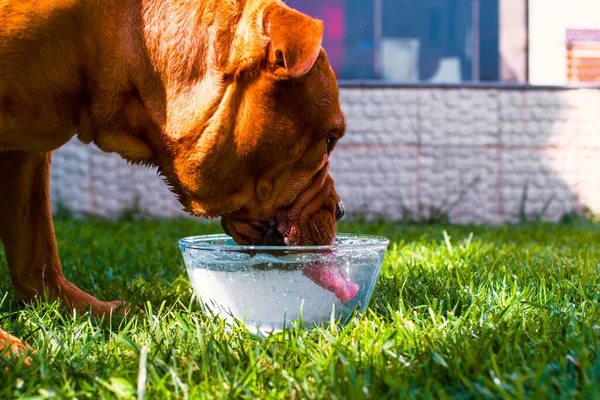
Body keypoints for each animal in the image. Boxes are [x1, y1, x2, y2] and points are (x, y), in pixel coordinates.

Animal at [0, 0, 344, 362]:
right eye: (329, 140)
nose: (342, 210)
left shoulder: (26, 153)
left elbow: (36, 249)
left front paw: (78, 309)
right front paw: (9, 347)